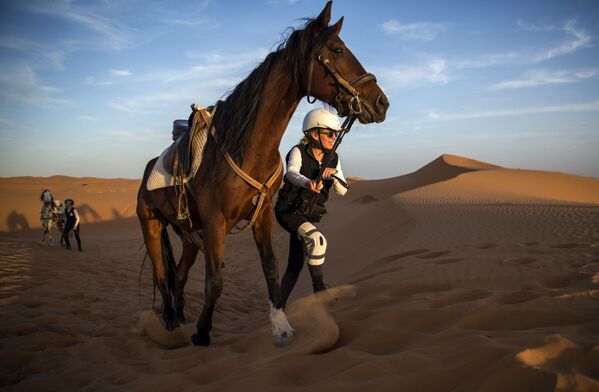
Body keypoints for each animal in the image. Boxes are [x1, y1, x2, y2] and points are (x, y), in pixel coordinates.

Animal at [136, 2, 390, 346]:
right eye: (337, 50)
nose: (381, 102)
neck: (247, 148)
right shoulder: (216, 223)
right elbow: (215, 280)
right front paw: (202, 333)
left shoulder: (262, 216)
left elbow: (270, 267)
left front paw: (280, 324)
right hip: (151, 225)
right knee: (162, 276)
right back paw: (172, 328)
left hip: (188, 234)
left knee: (179, 275)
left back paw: (178, 319)